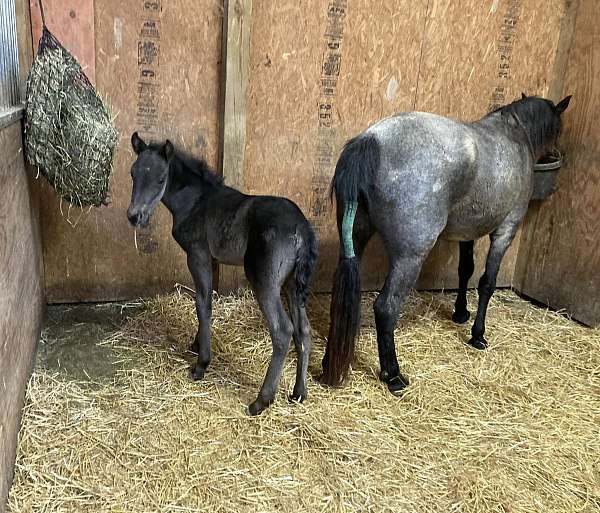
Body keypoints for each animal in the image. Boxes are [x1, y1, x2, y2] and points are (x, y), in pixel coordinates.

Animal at [127, 130, 318, 414]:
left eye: (161, 178)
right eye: (133, 173)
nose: (134, 217)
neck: (196, 202)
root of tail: (302, 228)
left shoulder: (197, 255)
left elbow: (202, 303)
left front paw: (201, 364)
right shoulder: (212, 259)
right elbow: (207, 300)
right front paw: (196, 345)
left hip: (265, 282)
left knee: (283, 330)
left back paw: (261, 400)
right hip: (293, 283)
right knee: (303, 330)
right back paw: (299, 392)